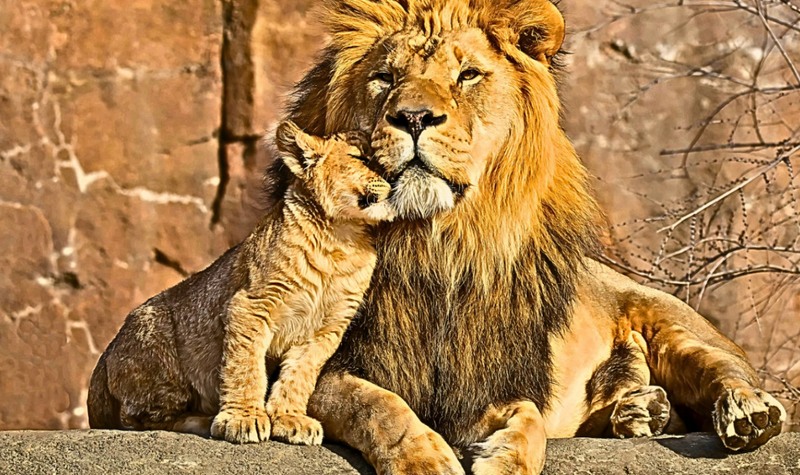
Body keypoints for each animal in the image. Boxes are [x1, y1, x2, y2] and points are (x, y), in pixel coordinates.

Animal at [87, 121, 395, 444]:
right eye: (360, 158)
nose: (394, 178)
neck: (341, 239)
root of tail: (103, 360)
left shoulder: (327, 329)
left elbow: (300, 375)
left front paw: (290, 418)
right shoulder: (251, 304)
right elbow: (245, 366)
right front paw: (243, 419)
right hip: (157, 341)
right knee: (137, 418)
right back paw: (203, 420)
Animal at [266, 1, 785, 474]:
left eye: (468, 75)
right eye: (385, 78)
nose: (413, 117)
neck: (437, 245)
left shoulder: (489, 381)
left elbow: (530, 418)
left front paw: (506, 460)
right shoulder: (332, 364)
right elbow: (379, 407)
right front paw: (424, 460)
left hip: (672, 324)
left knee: (728, 371)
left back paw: (746, 413)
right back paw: (640, 411)